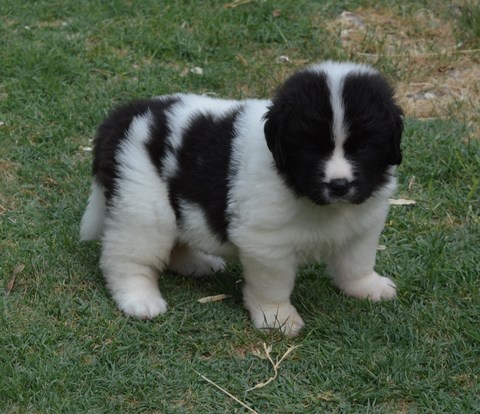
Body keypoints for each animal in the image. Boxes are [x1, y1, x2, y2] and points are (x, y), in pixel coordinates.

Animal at [80, 61, 403, 336]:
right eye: (312, 148)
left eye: (362, 147)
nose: (339, 185)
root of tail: (122, 117)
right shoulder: (266, 242)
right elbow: (274, 285)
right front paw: (278, 318)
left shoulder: (364, 222)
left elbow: (357, 262)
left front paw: (367, 287)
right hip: (143, 201)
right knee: (127, 258)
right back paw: (140, 299)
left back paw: (198, 263)